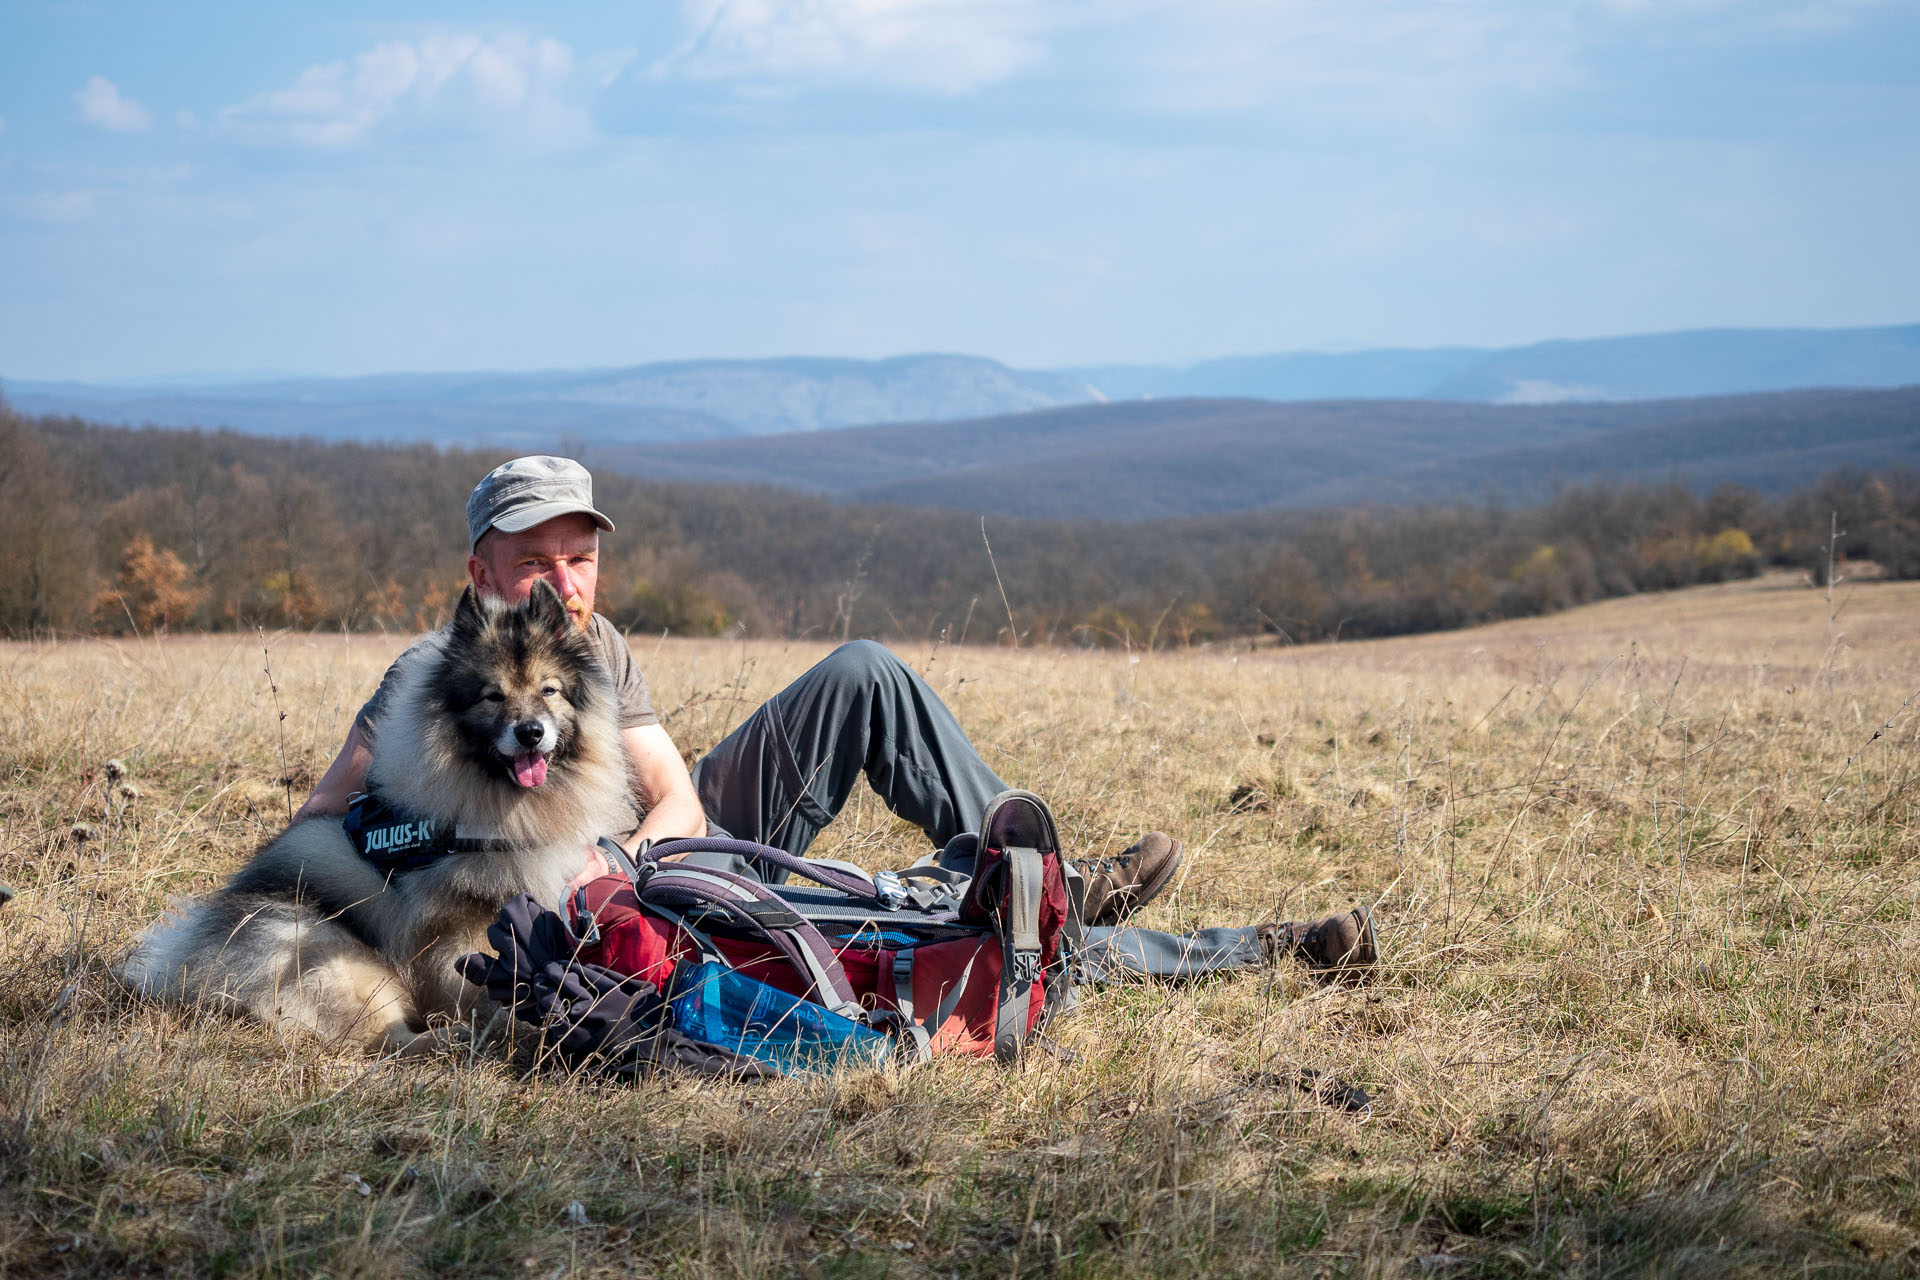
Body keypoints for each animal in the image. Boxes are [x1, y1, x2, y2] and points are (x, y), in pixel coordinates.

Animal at [120, 579, 629, 1051]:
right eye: (492, 696)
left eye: (549, 690)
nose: (530, 732)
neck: (499, 806)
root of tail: (189, 964)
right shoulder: (454, 926)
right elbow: (474, 977)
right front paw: (506, 1019)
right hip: (341, 962)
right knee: (386, 1039)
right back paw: (457, 1038)